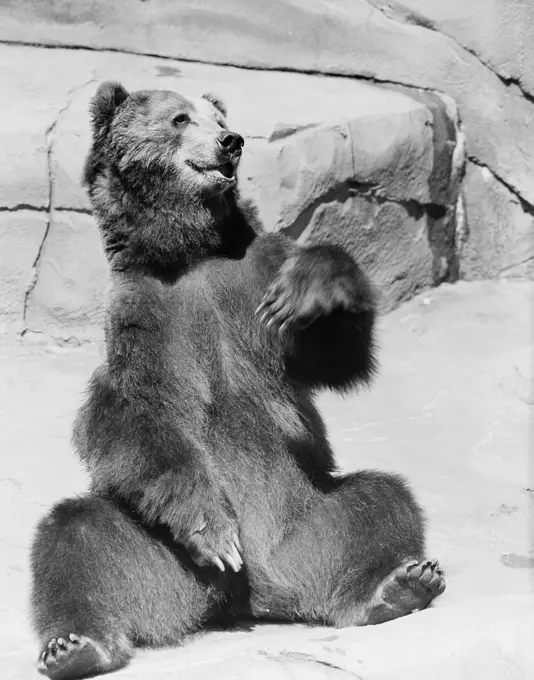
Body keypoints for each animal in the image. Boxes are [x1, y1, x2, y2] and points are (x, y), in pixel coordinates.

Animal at [30, 81, 448, 680]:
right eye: (180, 119)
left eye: (219, 118)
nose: (231, 142)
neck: (191, 250)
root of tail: (255, 596)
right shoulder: (142, 318)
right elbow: (129, 419)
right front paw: (215, 529)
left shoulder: (254, 279)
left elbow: (333, 355)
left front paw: (314, 285)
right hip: (163, 561)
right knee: (77, 534)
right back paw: (76, 645)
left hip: (308, 520)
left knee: (378, 499)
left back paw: (395, 586)